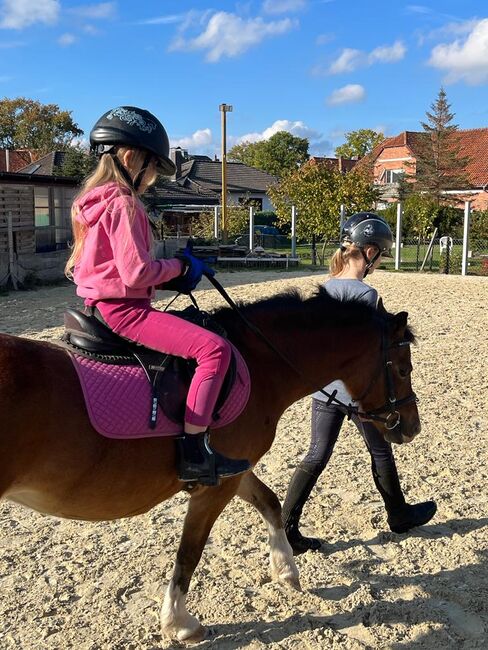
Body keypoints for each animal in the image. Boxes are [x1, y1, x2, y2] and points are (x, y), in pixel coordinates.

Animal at [0, 286, 420, 640]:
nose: (412, 427)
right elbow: (189, 552)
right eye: (403, 369)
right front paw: (179, 623)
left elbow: (270, 502)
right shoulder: (214, 488)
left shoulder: (234, 469)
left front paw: (286, 570)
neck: (258, 366)